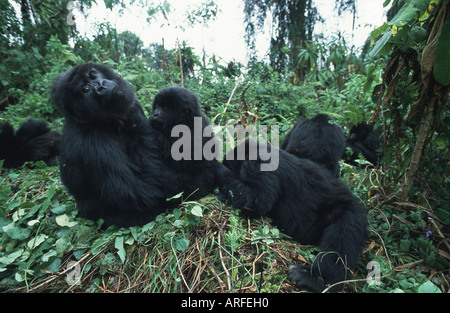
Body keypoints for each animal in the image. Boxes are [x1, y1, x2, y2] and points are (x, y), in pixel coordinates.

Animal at [216, 140, 368, 292]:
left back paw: (316, 279)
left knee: (341, 239)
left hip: (349, 214)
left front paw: (217, 170)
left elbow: (257, 200)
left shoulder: (257, 163)